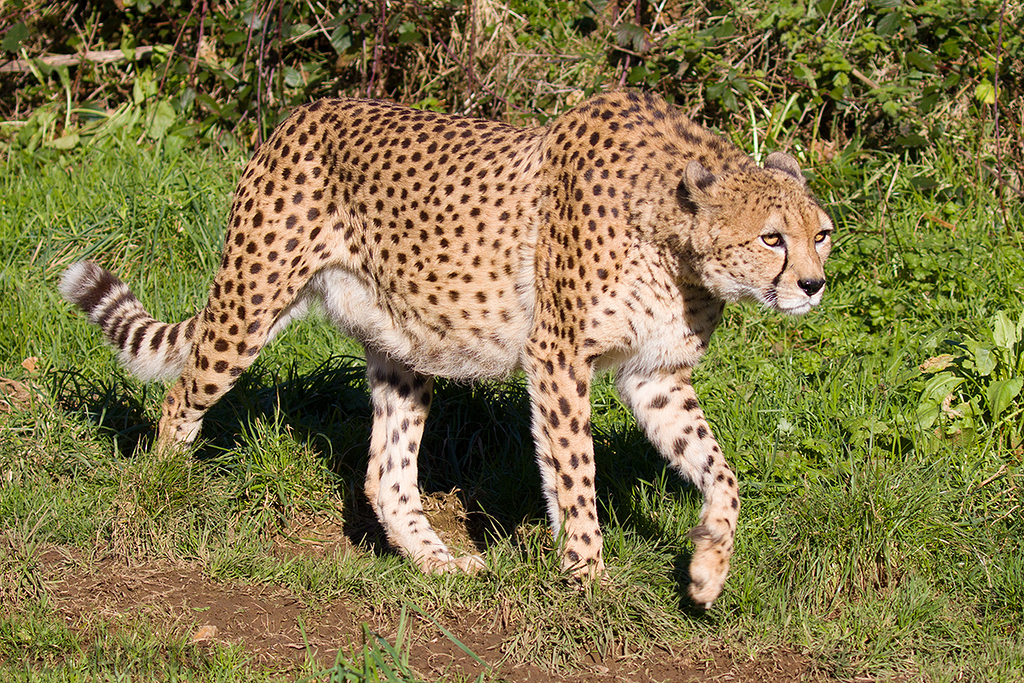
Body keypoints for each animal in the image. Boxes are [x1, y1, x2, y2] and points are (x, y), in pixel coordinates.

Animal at [61, 90, 831, 610]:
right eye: (772, 237)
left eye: (820, 233)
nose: (814, 284)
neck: (678, 241)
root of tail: (304, 112)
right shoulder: (557, 354)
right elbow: (575, 475)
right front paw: (587, 578)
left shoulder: (656, 375)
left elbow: (723, 474)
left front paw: (708, 568)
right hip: (252, 300)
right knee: (180, 397)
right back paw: (157, 495)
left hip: (404, 343)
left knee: (386, 473)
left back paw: (437, 563)